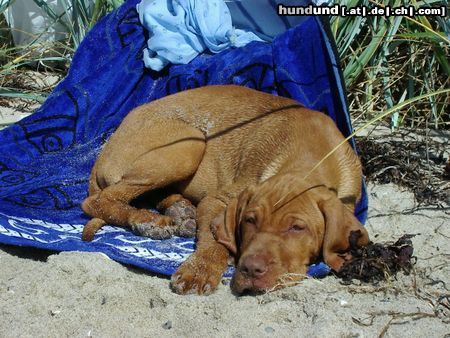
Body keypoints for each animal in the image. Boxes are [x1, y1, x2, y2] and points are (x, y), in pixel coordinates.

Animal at [81, 85, 370, 296]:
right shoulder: (219, 200)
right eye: (249, 221)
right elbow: (215, 240)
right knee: (97, 201)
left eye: (297, 228)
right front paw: (200, 270)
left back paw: (181, 212)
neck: (312, 159)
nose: (251, 270)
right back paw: (148, 219)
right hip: (191, 143)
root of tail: (108, 143)